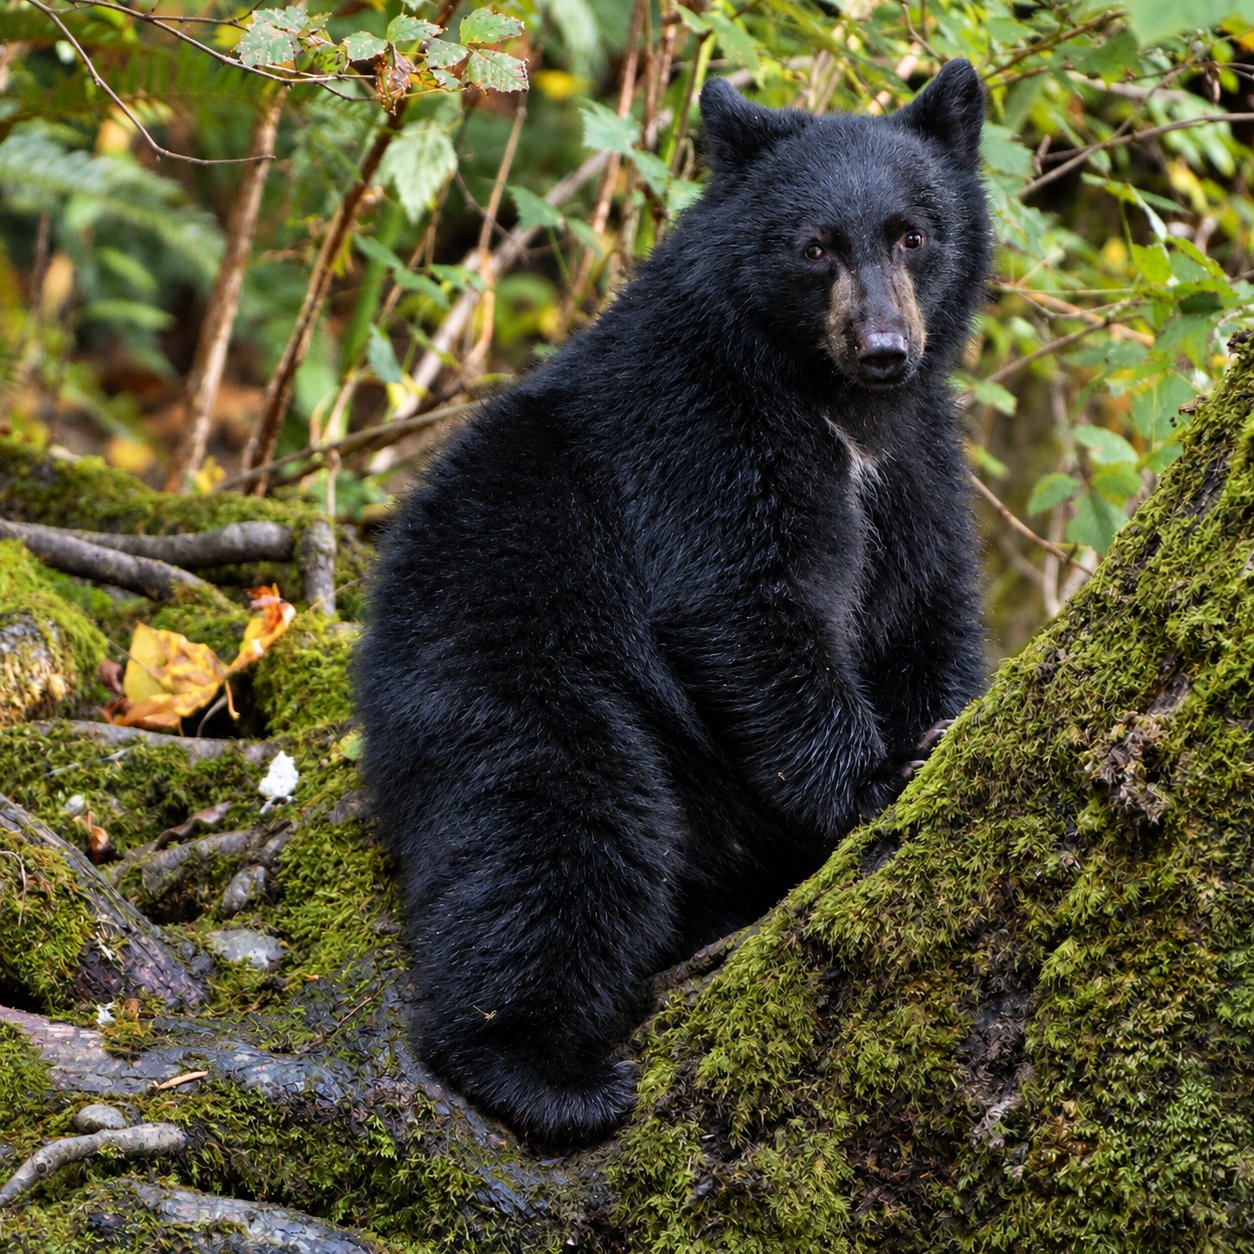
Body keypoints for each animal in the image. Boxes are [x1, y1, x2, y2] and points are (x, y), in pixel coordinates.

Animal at [357, 59, 991, 1149]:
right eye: (815, 246)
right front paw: (873, 783)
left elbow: (925, 610)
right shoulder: (701, 437)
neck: (837, 408)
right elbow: (749, 608)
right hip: (523, 678)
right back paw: (541, 1068)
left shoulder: (916, 467)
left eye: (914, 233)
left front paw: (940, 725)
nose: (883, 346)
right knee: (555, 837)